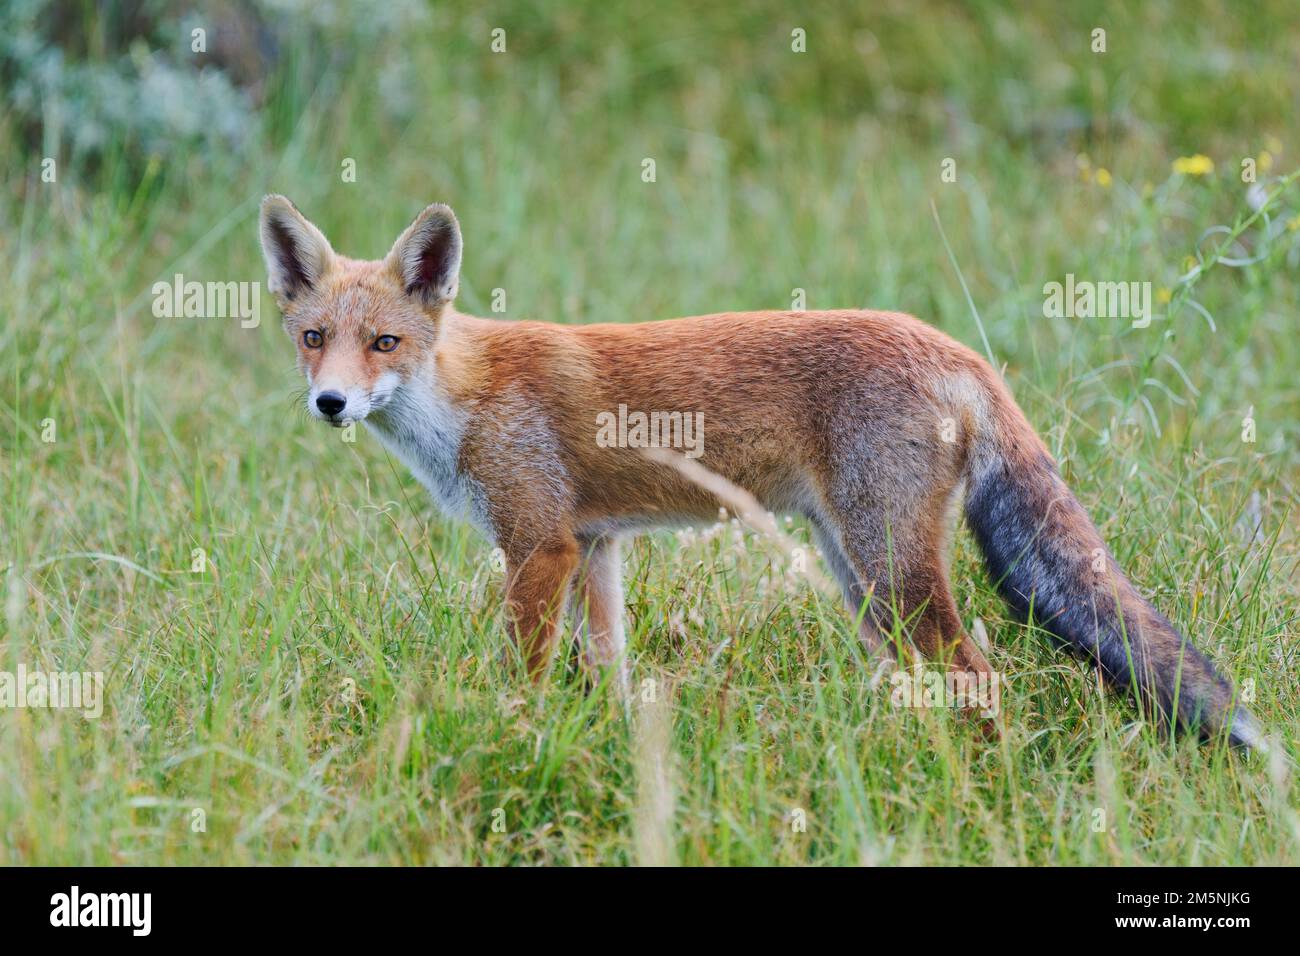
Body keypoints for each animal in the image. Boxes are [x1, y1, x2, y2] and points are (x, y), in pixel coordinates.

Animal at [258, 194, 1261, 749]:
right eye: (313, 339)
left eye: (384, 344)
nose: (332, 403)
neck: (462, 400)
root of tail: (956, 350)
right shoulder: (595, 548)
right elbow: (611, 671)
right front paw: (603, 754)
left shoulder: (538, 546)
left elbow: (525, 676)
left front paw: (514, 737)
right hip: (859, 578)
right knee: (928, 683)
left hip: (888, 571)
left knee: (981, 678)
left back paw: (987, 788)